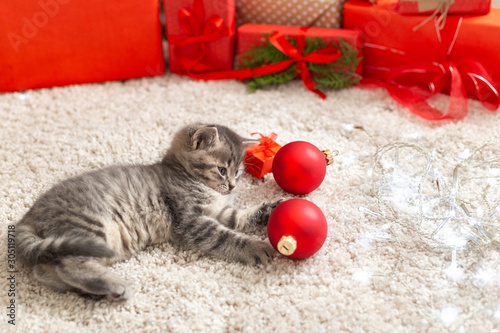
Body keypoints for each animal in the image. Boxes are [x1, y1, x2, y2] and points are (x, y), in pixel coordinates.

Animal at [15, 123, 282, 300]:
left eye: (238, 172)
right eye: (221, 170)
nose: (233, 186)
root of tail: (31, 213)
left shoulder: (218, 212)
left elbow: (238, 218)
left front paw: (267, 211)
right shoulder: (190, 220)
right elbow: (225, 236)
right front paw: (255, 247)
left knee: (44, 270)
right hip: (90, 227)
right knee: (68, 264)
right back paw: (114, 286)